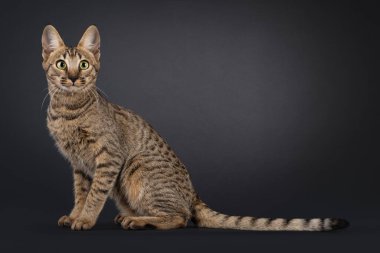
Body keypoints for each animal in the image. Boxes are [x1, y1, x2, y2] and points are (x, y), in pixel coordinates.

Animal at [40, 25, 348, 231]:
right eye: (61, 64)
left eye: (83, 64)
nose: (72, 77)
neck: (68, 110)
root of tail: (194, 193)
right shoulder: (79, 165)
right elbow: (81, 194)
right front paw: (75, 215)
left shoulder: (108, 157)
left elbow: (95, 195)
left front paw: (85, 219)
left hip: (136, 168)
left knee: (180, 217)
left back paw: (137, 220)